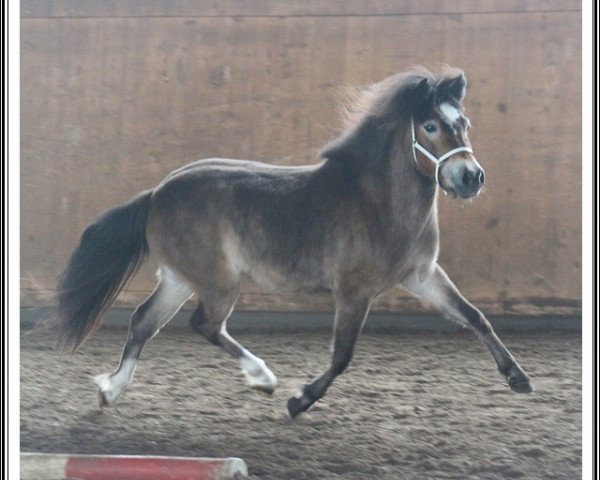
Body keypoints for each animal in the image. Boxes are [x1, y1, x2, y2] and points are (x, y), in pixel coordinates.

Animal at [56, 65, 532, 418]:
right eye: (431, 125)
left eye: (464, 123)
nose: (471, 178)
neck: (378, 202)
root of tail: (157, 192)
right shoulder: (355, 291)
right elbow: (342, 355)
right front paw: (298, 400)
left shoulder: (423, 276)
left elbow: (475, 317)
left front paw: (518, 378)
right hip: (217, 282)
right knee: (204, 324)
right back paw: (263, 379)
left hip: (180, 278)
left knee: (144, 322)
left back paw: (111, 391)